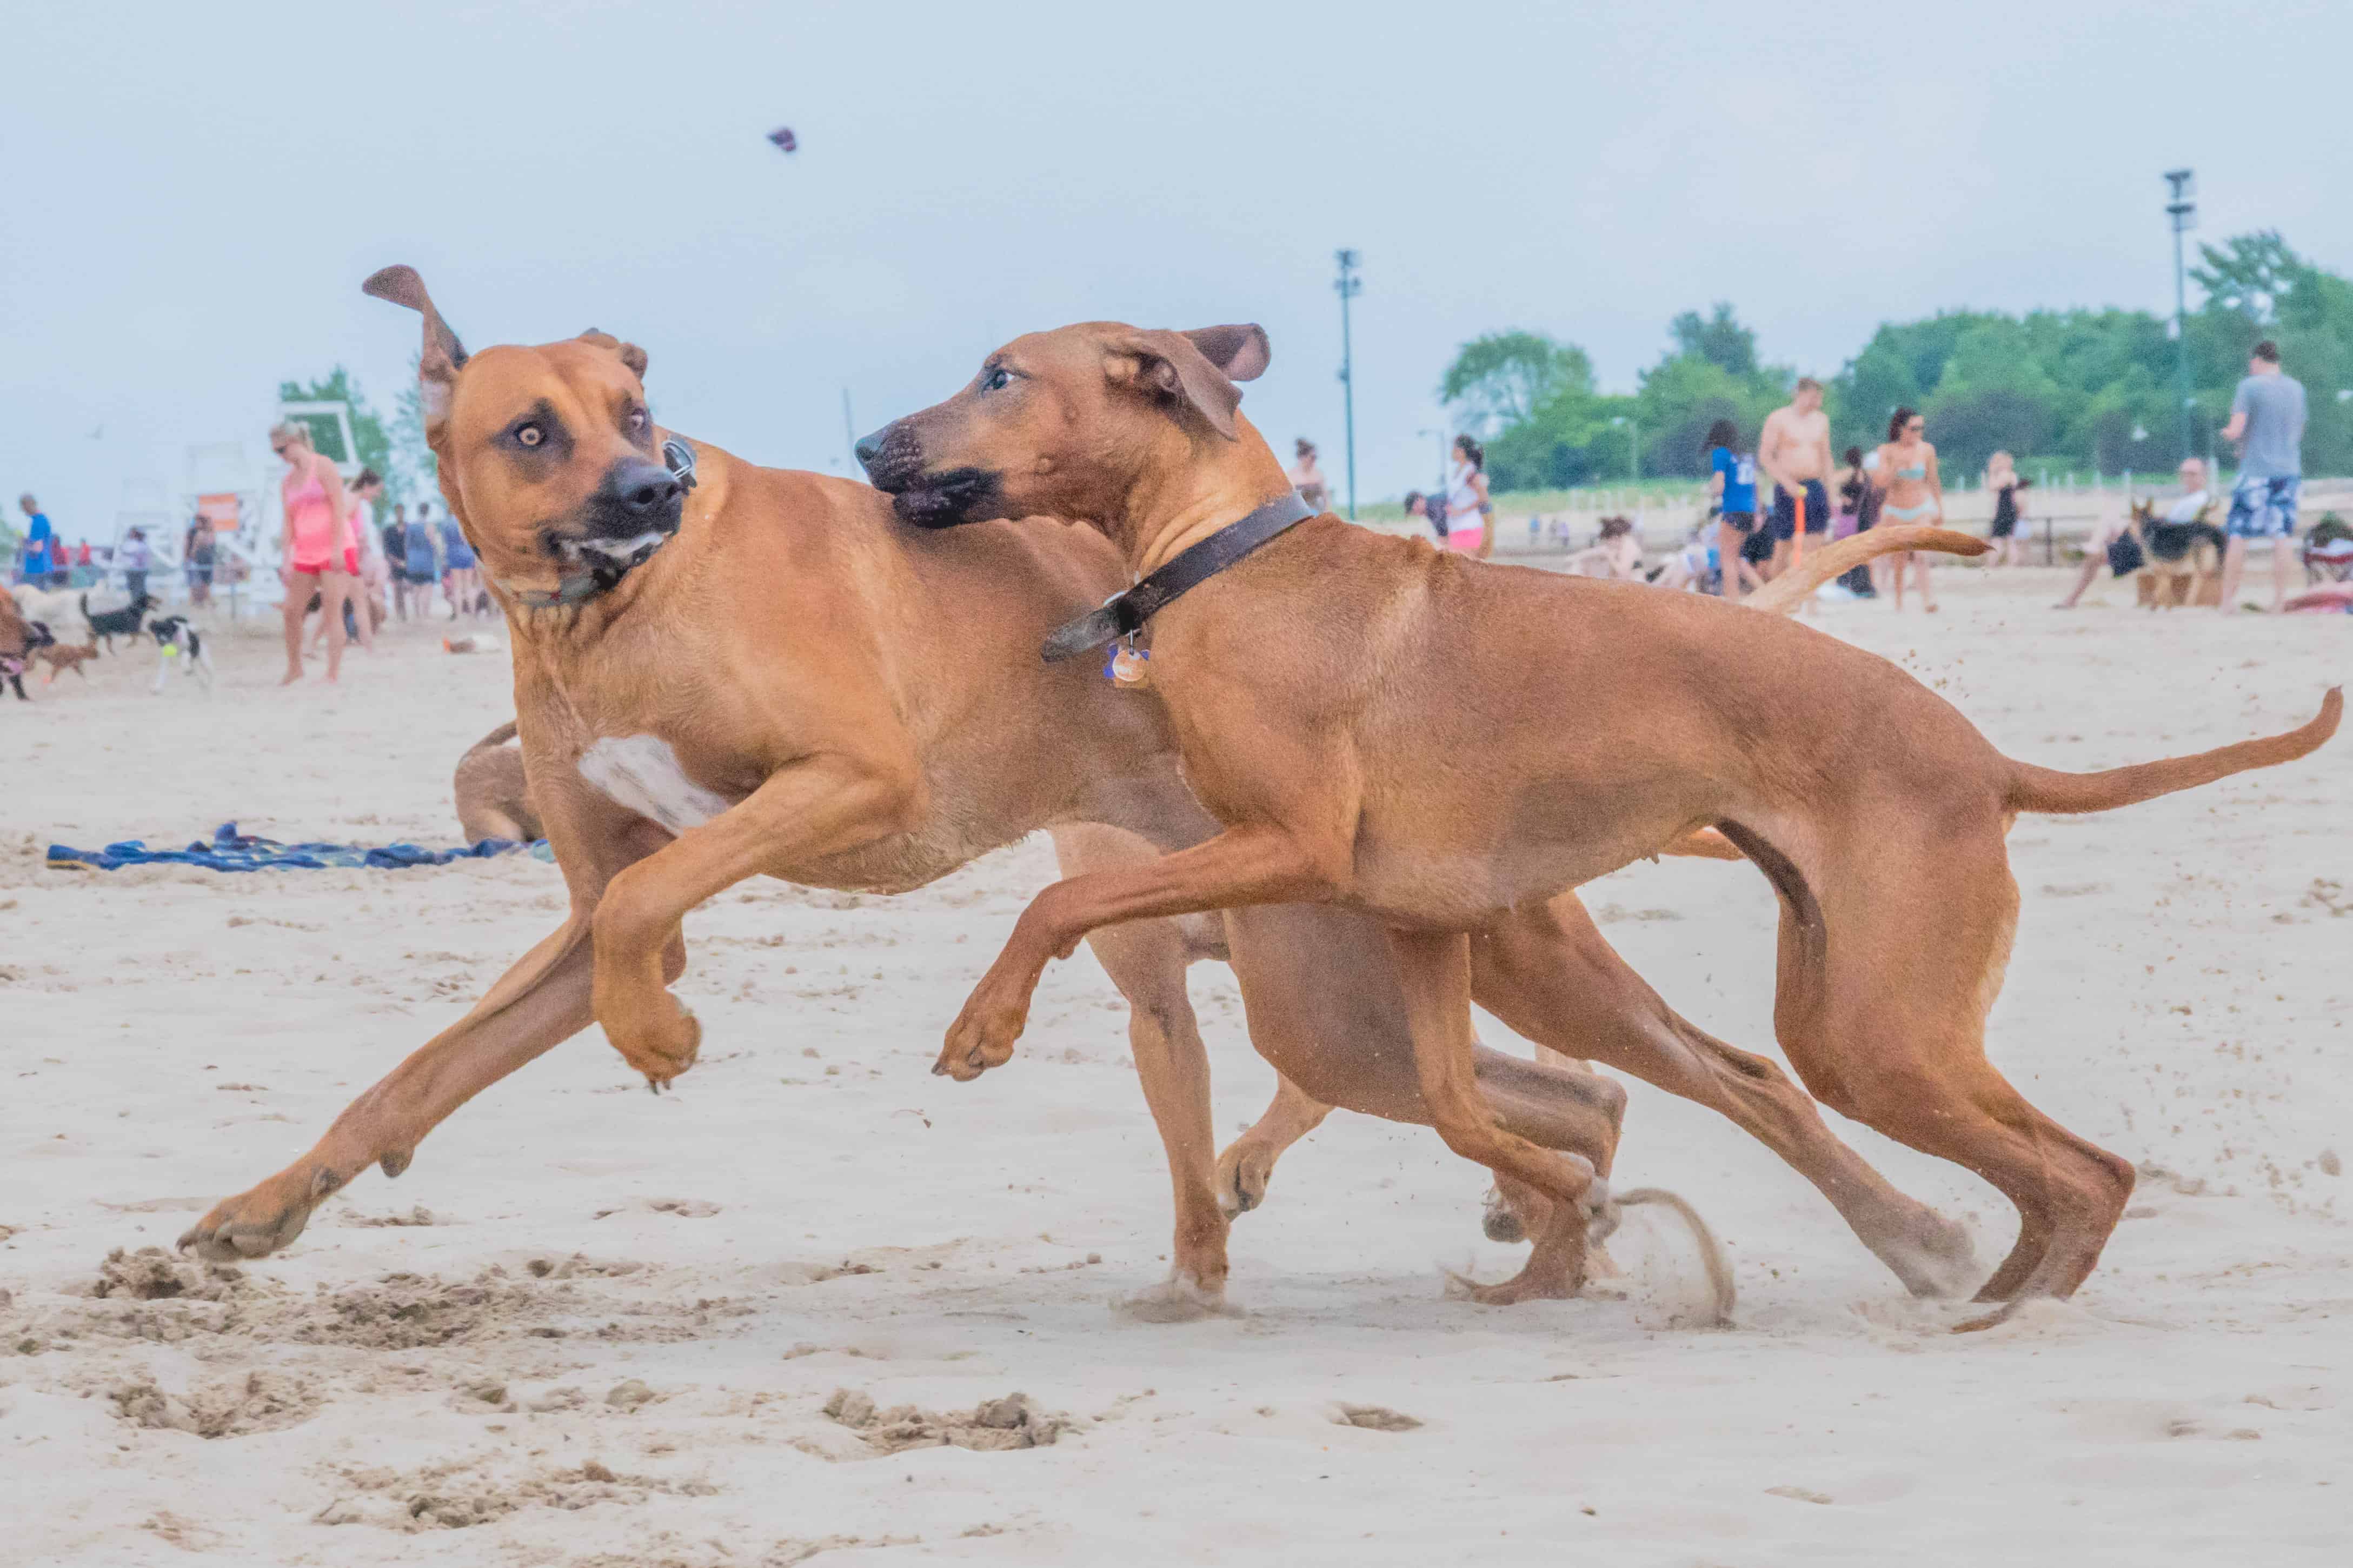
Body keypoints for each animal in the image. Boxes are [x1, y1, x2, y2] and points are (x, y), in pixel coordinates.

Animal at [174, 270, 1986, 1316]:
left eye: (640, 410)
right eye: (532, 430)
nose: (653, 485)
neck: (610, 620)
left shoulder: (852, 779)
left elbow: (650, 895)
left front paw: (658, 1030)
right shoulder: (577, 902)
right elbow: (427, 1063)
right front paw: (260, 1211)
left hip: (1460, 952)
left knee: (1727, 1076)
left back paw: (1908, 1233)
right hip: (1343, 991)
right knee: (1568, 1100)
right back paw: (1554, 1244)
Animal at [856, 322, 2343, 1326]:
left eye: (1000, 375)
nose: (866, 442)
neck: (1224, 557)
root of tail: (1986, 760)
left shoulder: (1292, 848)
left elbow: (1057, 897)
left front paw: (982, 1025)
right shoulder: (1418, 921)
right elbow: (1459, 1103)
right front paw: (1549, 1208)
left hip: (1878, 1030)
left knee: (2080, 1169)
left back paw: (1995, 1304)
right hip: (1845, 1014)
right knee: (1948, 1141)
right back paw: (1957, 1275)